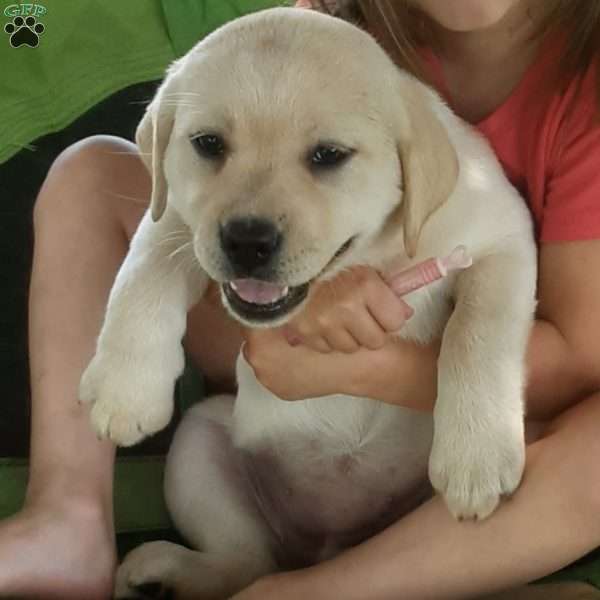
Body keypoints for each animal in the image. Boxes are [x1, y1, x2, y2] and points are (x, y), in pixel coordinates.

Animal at [78, 7, 536, 596]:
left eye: (329, 156)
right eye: (208, 144)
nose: (247, 241)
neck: (369, 254)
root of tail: (326, 544)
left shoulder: (503, 235)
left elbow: (478, 331)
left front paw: (476, 454)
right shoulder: (179, 215)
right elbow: (143, 268)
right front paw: (125, 391)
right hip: (198, 442)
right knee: (245, 564)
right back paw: (160, 567)